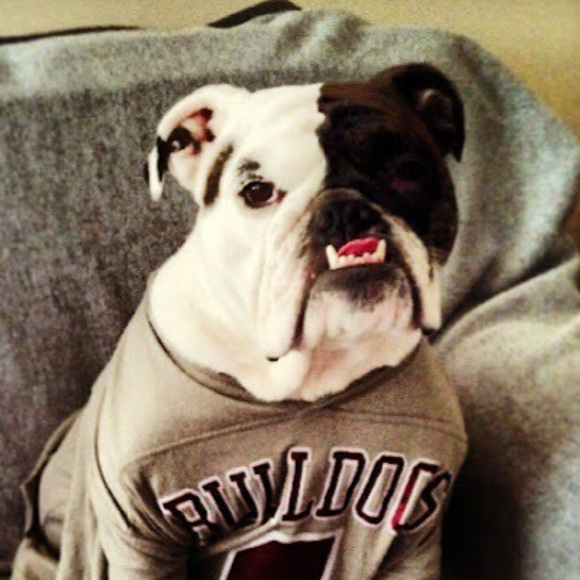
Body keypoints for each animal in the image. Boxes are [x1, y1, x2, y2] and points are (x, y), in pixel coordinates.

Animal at [13, 64, 467, 579]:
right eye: (257, 192)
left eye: (406, 172)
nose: (343, 210)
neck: (302, 373)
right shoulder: (141, 541)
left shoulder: (413, 536)